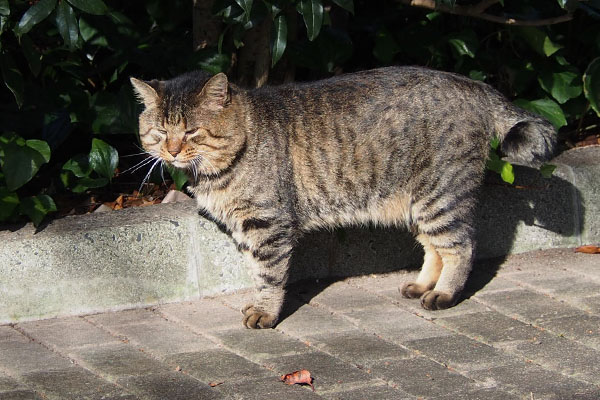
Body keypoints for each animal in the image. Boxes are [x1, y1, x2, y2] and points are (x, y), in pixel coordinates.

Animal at [130, 66, 552, 328]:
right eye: (159, 132)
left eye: (191, 132)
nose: (171, 151)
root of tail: (473, 84)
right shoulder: (246, 230)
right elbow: (254, 270)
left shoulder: (267, 225)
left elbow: (268, 275)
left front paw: (264, 312)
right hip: (419, 204)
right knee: (435, 248)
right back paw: (422, 286)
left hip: (440, 196)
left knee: (461, 247)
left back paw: (444, 294)